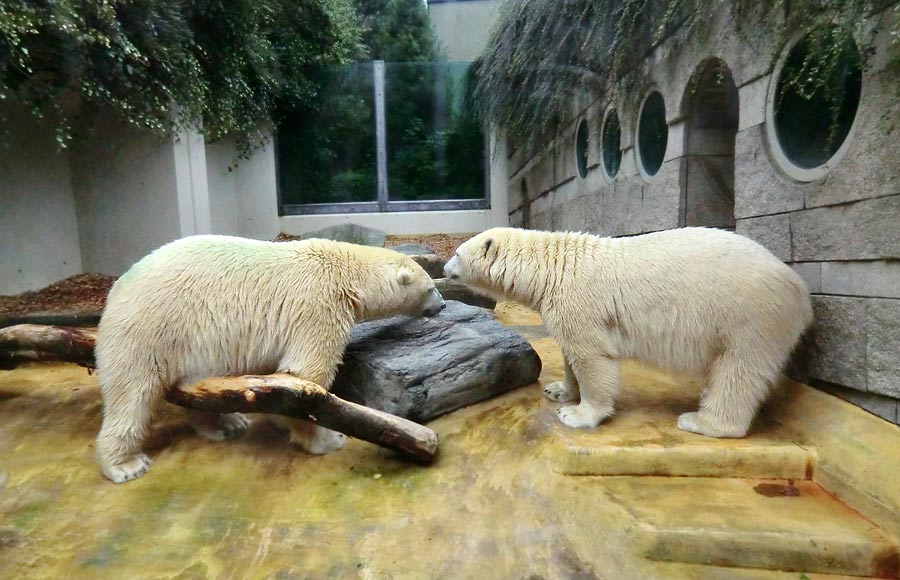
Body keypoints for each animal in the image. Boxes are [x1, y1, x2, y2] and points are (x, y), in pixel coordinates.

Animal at [96, 233, 446, 482]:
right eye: (431, 288)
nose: (442, 305)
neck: (344, 269)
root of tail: (113, 293)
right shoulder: (319, 305)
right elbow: (306, 376)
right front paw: (327, 439)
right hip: (149, 331)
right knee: (131, 396)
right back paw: (125, 465)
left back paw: (227, 424)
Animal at [444, 227, 816, 440]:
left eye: (457, 252)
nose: (446, 268)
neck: (551, 268)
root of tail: (799, 288)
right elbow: (570, 352)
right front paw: (558, 391)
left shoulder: (581, 301)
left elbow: (592, 358)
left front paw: (578, 414)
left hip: (750, 314)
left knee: (740, 369)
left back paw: (702, 421)